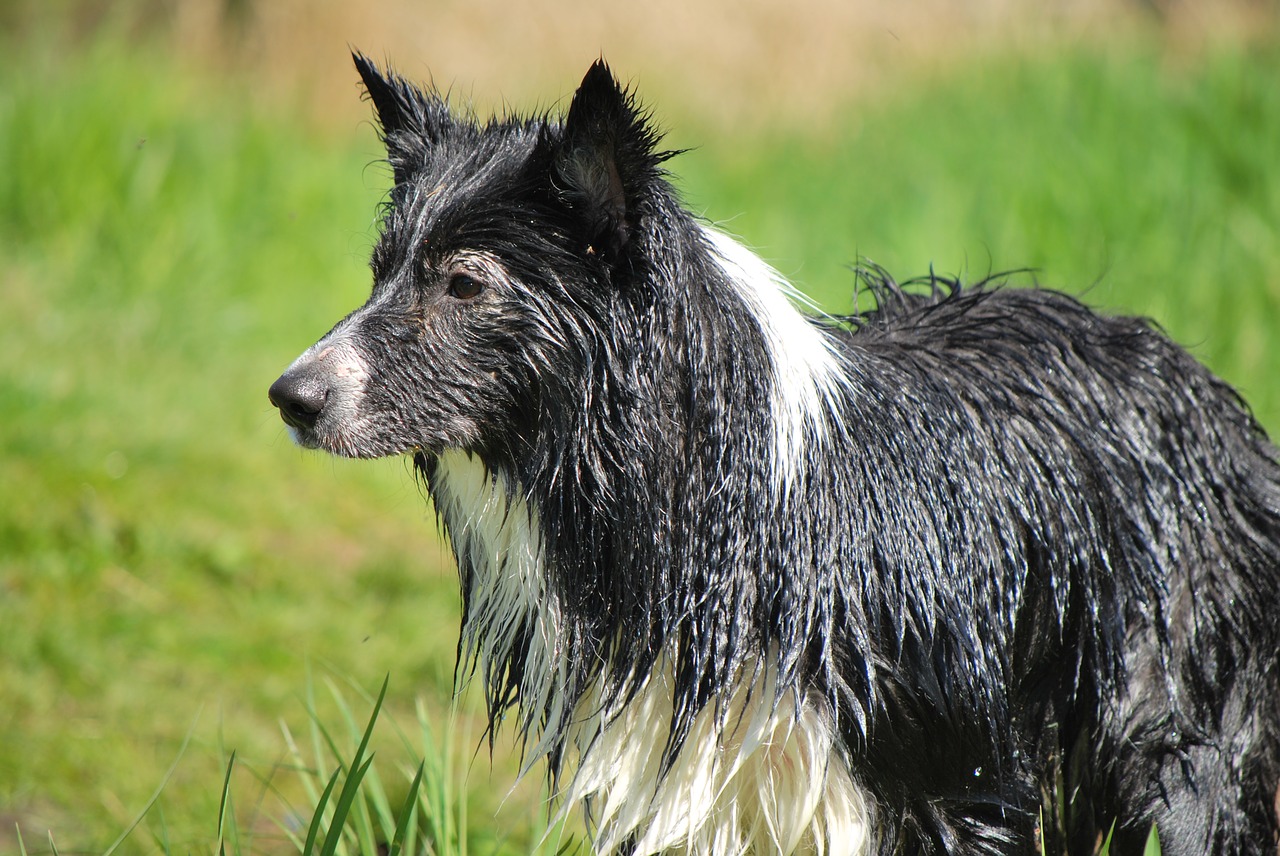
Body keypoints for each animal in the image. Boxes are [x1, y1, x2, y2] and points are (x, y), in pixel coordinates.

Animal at [270, 56, 1280, 849]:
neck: (722, 513)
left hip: (1183, 741)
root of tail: (1199, 385)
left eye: (464, 284)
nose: (291, 397)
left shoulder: (957, 781)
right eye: (380, 271)